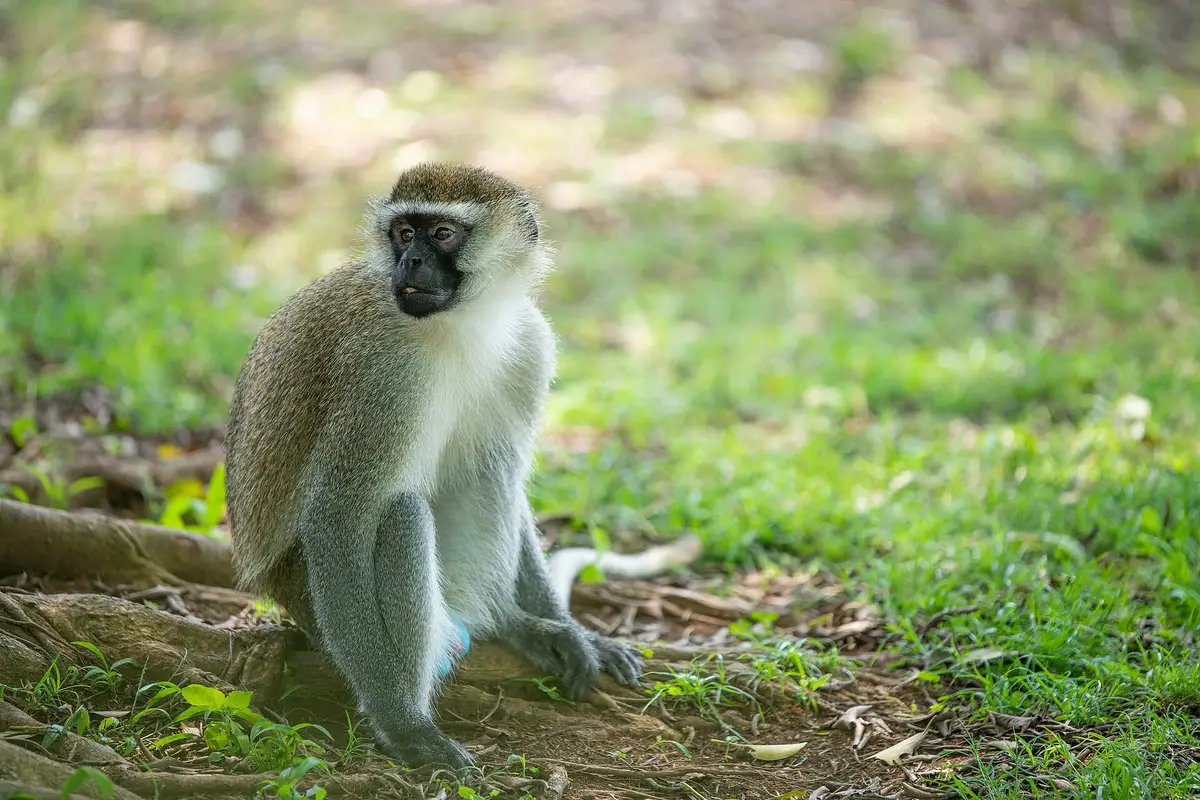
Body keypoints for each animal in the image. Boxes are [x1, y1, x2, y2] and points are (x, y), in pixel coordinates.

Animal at [224, 162, 701, 772]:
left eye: (443, 234)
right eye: (404, 233)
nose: (409, 262)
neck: (463, 321)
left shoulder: (532, 343)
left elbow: (509, 477)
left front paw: (572, 631)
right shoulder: (381, 370)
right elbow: (341, 512)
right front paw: (400, 722)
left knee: (488, 472)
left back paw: (513, 624)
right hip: (304, 593)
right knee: (399, 514)